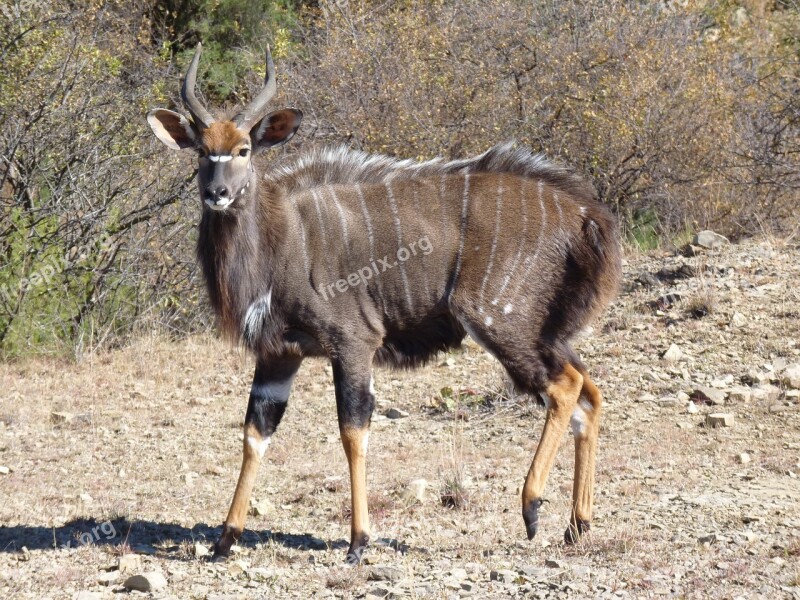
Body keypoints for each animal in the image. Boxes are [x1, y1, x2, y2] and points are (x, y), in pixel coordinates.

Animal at [150, 44, 624, 564]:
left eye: (243, 149)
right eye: (201, 150)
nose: (216, 192)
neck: (283, 236)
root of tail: (586, 215)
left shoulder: (353, 341)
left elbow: (352, 431)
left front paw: (359, 541)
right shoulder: (279, 353)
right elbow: (256, 434)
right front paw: (225, 539)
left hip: (500, 321)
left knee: (565, 386)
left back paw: (533, 506)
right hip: (546, 332)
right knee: (589, 393)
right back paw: (577, 524)